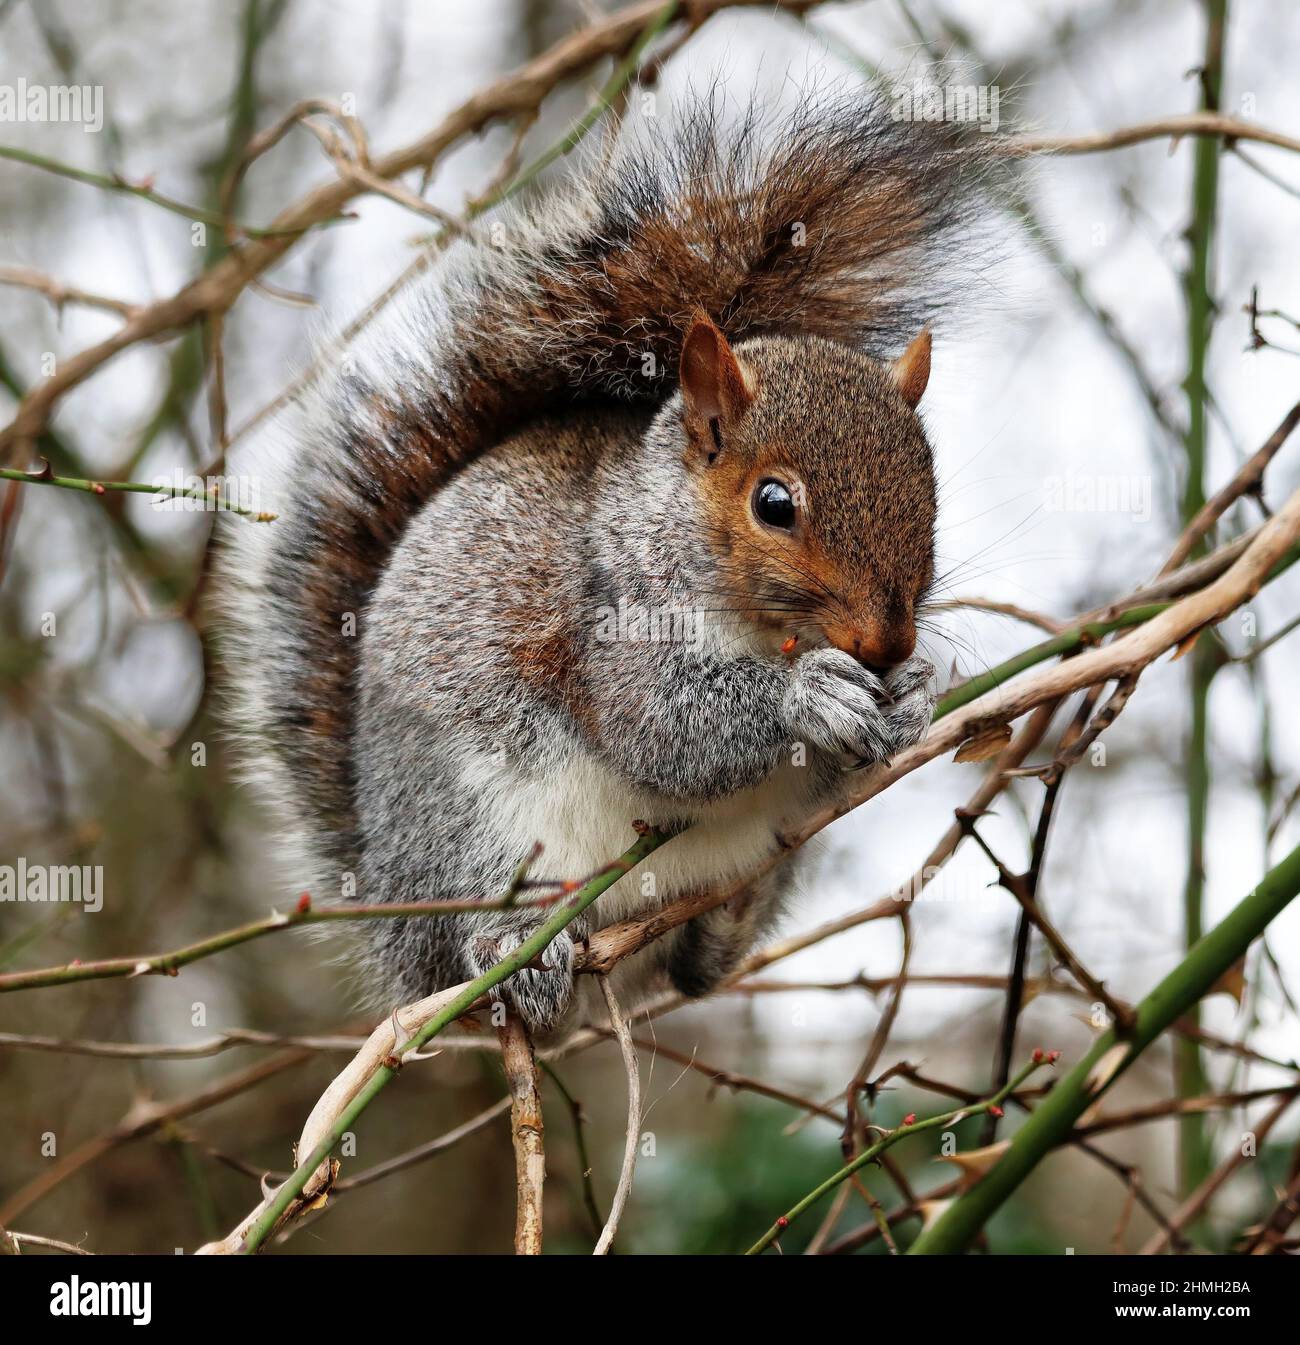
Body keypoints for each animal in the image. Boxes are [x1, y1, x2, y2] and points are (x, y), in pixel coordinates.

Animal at [222, 92, 996, 1042]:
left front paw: (916, 692)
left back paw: (727, 918)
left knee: (697, 971)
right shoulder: (610, 625)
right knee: (490, 952)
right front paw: (810, 694)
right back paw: (511, 957)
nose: (888, 645)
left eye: (931, 491)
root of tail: (391, 921)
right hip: (472, 829)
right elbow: (660, 728)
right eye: (774, 503)